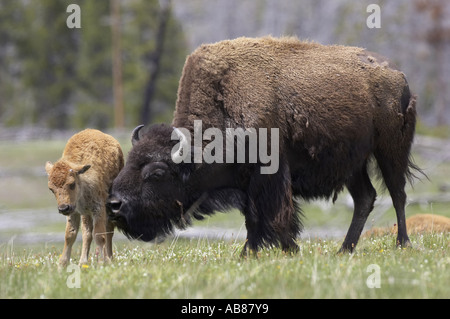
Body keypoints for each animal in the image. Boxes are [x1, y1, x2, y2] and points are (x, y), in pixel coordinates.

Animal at [46, 129, 124, 266]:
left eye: (72, 184)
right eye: (51, 189)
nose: (63, 208)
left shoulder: (99, 209)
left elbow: (99, 235)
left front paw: (103, 262)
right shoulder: (75, 212)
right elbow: (70, 235)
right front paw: (62, 264)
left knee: (108, 230)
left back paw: (109, 257)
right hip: (85, 214)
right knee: (87, 234)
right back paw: (83, 262)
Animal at [106, 36, 422, 254]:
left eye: (157, 173)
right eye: (129, 161)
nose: (114, 205)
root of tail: (400, 77)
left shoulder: (270, 175)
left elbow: (273, 215)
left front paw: (282, 249)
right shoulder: (248, 184)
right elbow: (253, 218)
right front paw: (255, 252)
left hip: (391, 150)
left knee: (397, 194)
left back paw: (402, 243)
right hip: (352, 164)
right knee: (365, 198)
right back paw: (344, 250)